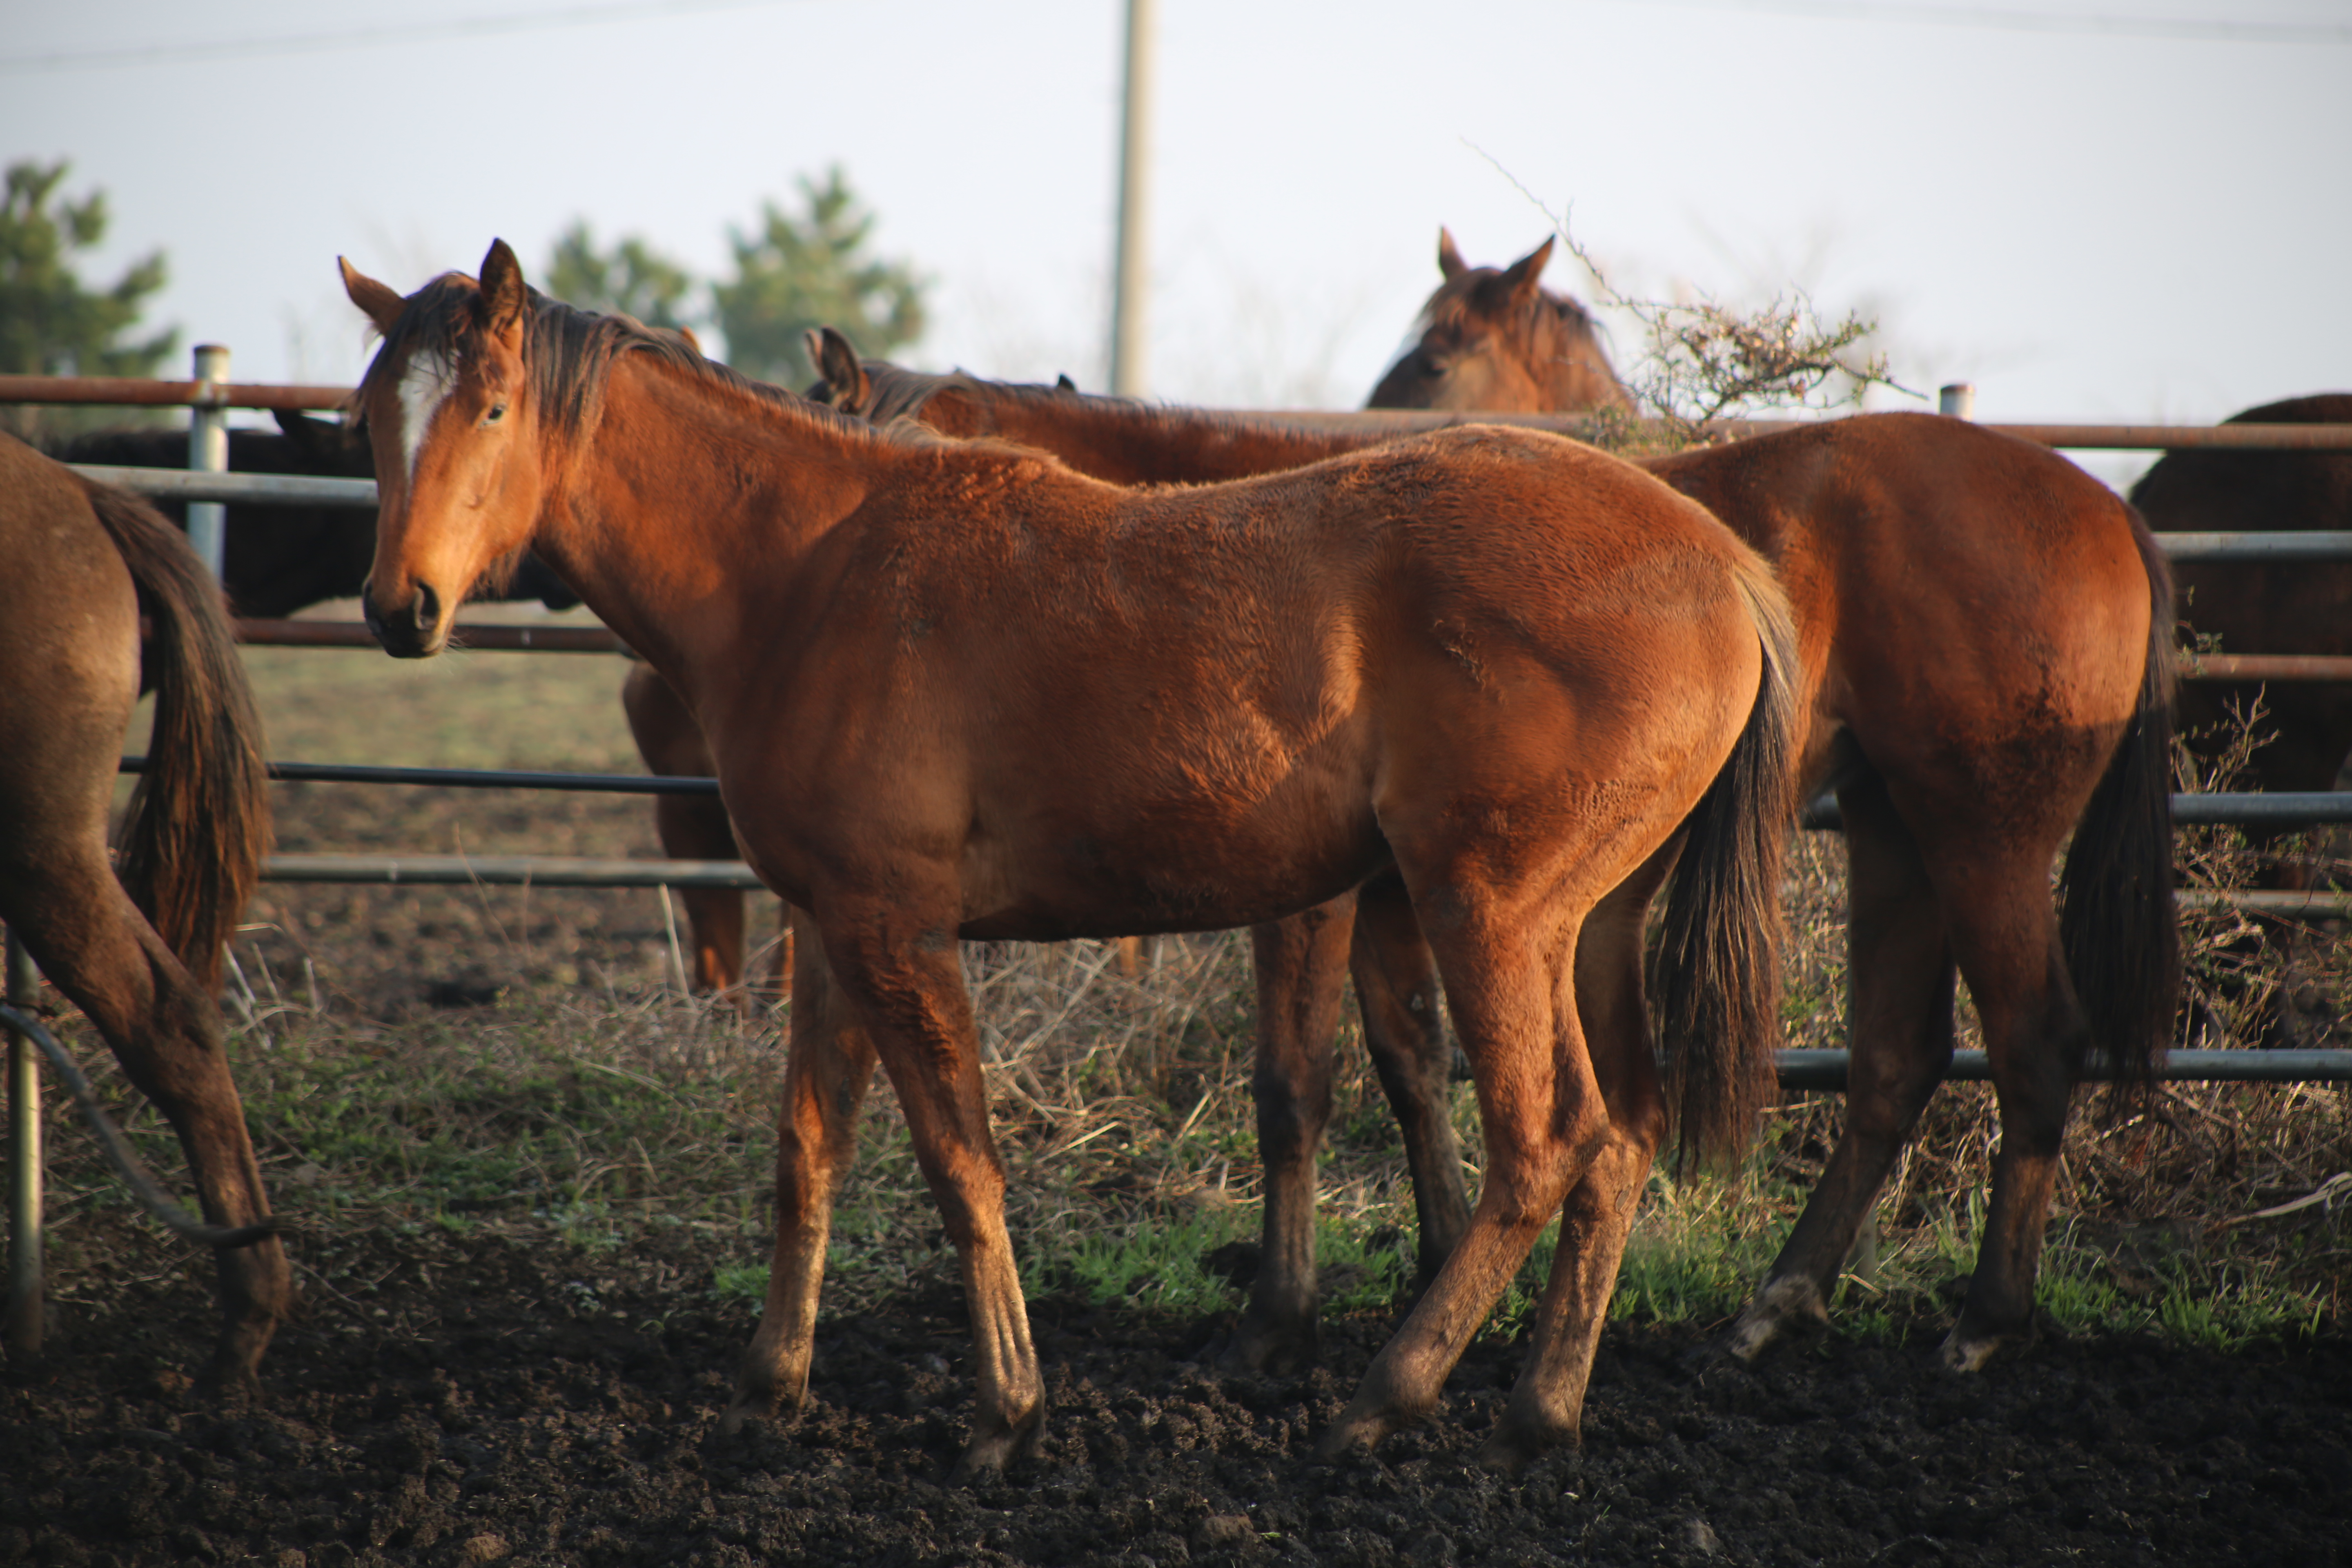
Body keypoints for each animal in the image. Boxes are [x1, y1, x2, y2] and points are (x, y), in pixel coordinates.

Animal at [341, 240, 1787, 1476]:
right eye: (365, 420)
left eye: (489, 407)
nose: (400, 607)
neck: (811, 571)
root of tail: (1719, 561)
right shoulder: (831, 927)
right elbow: (809, 1149)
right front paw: (769, 1389)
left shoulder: (900, 932)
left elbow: (959, 1161)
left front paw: (1007, 1412)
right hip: (1588, 928)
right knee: (1623, 1139)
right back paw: (1541, 1411)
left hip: (1488, 914)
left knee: (1548, 1142)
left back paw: (1385, 1398)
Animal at [1373, 232, 2173, 1373]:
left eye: (1438, 358)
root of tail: (2110, 512)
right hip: (1895, 831)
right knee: (1895, 1060)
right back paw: (1780, 1297)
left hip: (1985, 842)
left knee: (2033, 1043)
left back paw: (1982, 1317)